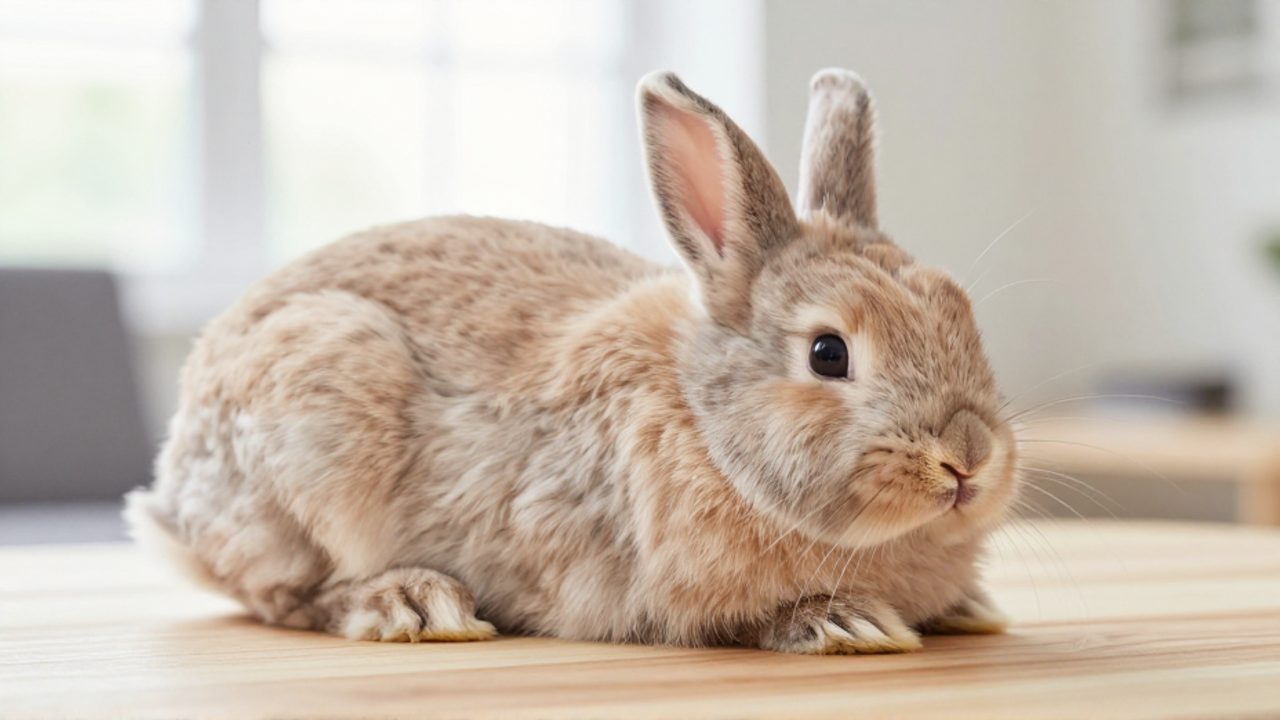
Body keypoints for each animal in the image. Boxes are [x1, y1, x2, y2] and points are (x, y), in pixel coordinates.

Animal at [125, 69, 1019, 655]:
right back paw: (414, 603)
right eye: (829, 354)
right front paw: (846, 622)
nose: (967, 458)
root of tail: (174, 496)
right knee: (290, 596)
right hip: (317, 435)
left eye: (963, 317)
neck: (705, 426)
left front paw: (967, 605)